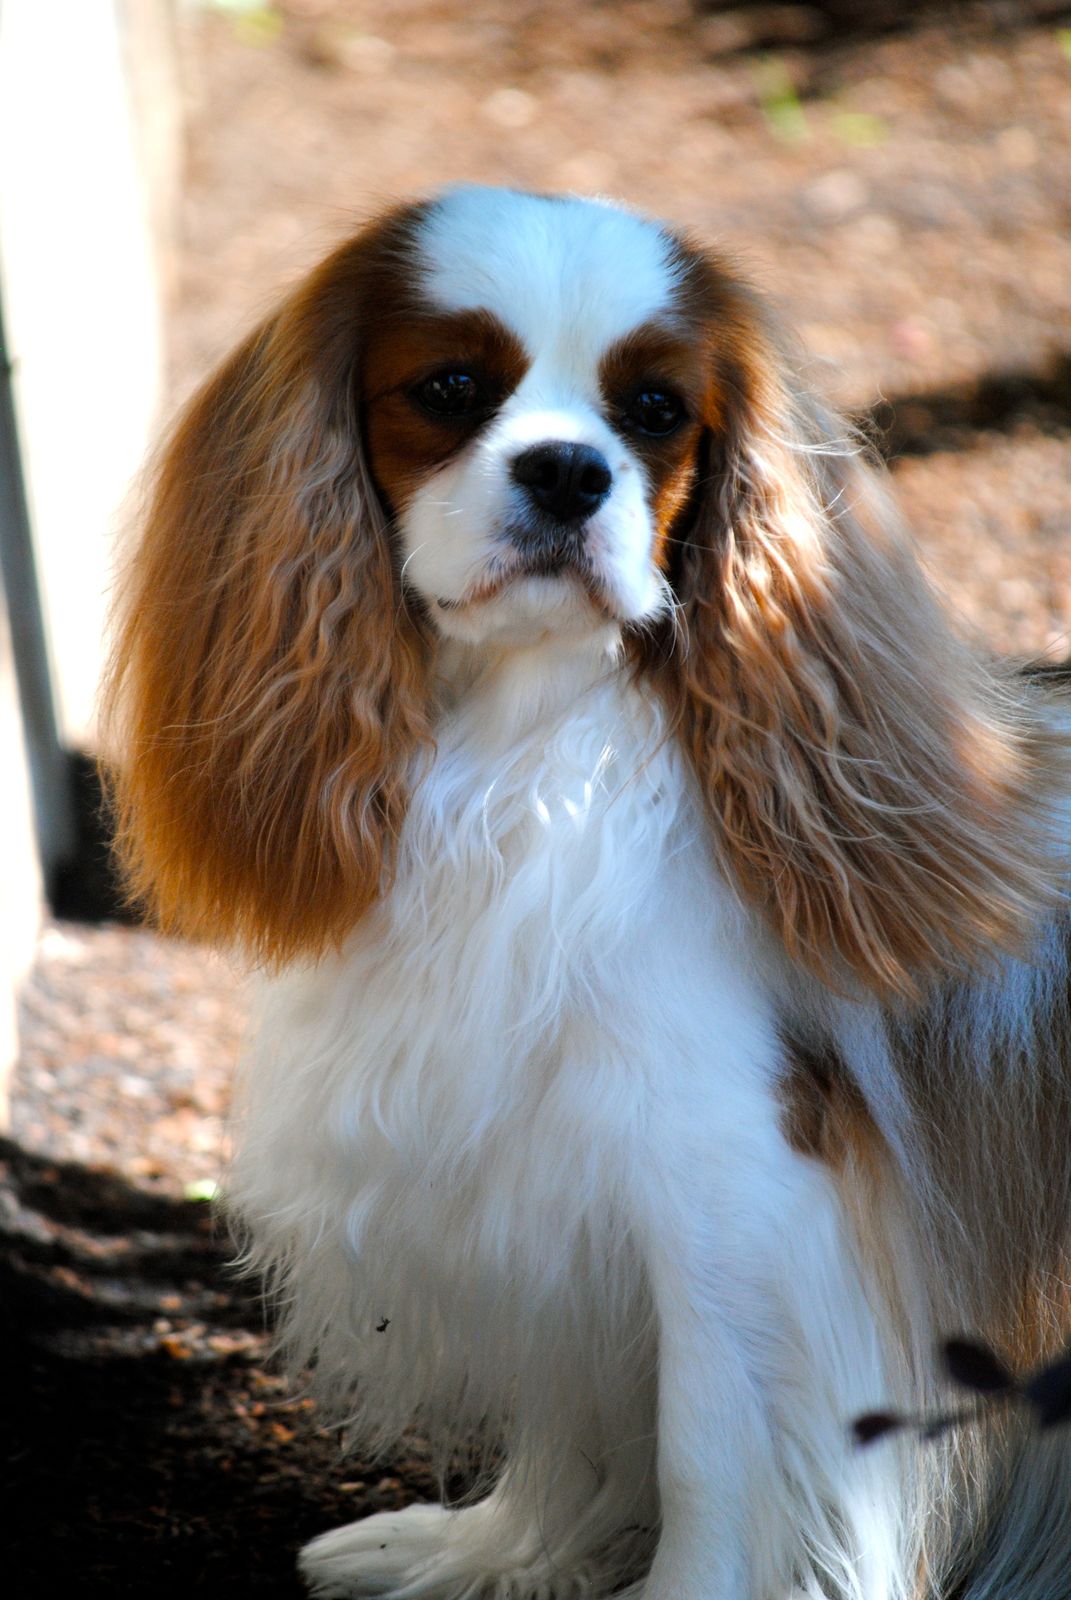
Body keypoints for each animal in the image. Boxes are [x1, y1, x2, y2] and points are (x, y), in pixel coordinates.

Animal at [104, 185, 1071, 1599]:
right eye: (451, 387)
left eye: (657, 411)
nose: (568, 469)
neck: (515, 760)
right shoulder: (537, 1174)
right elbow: (562, 1414)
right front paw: (496, 1551)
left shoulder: (734, 1198)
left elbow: (705, 1454)